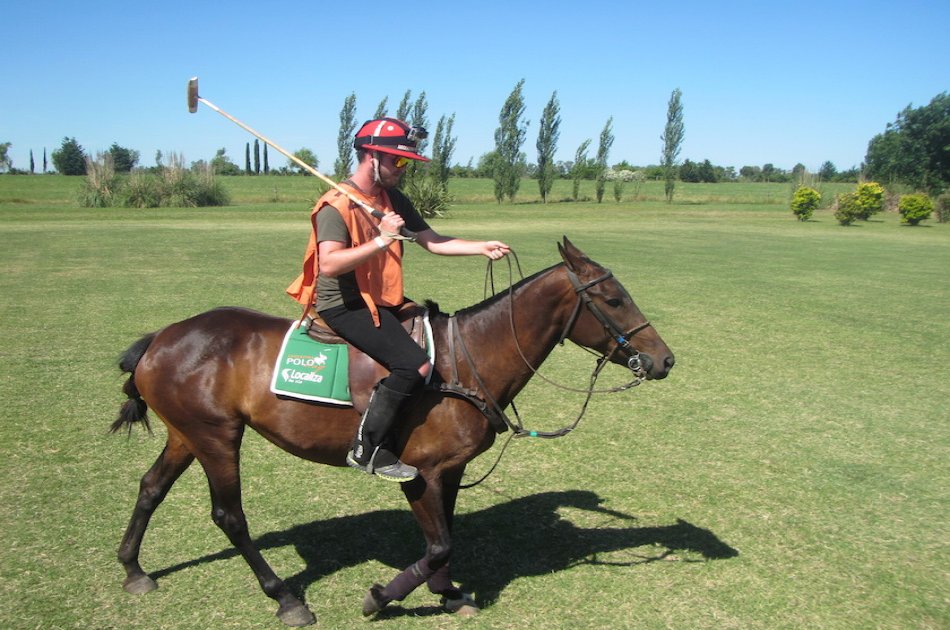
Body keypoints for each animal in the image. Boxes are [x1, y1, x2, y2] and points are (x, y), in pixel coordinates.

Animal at [113, 237, 676, 628]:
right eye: (614, 298)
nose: (665, 360)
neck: (466, 361)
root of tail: (160, 338)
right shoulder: (420, 473)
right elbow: (438, 545)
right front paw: (381, 597)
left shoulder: (450, 470)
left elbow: (446, 538)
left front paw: (448, 594)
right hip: (217, 436)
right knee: (229, 515)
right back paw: (286, 598)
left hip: (186, 433)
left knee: (151, 487)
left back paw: (134, 569)